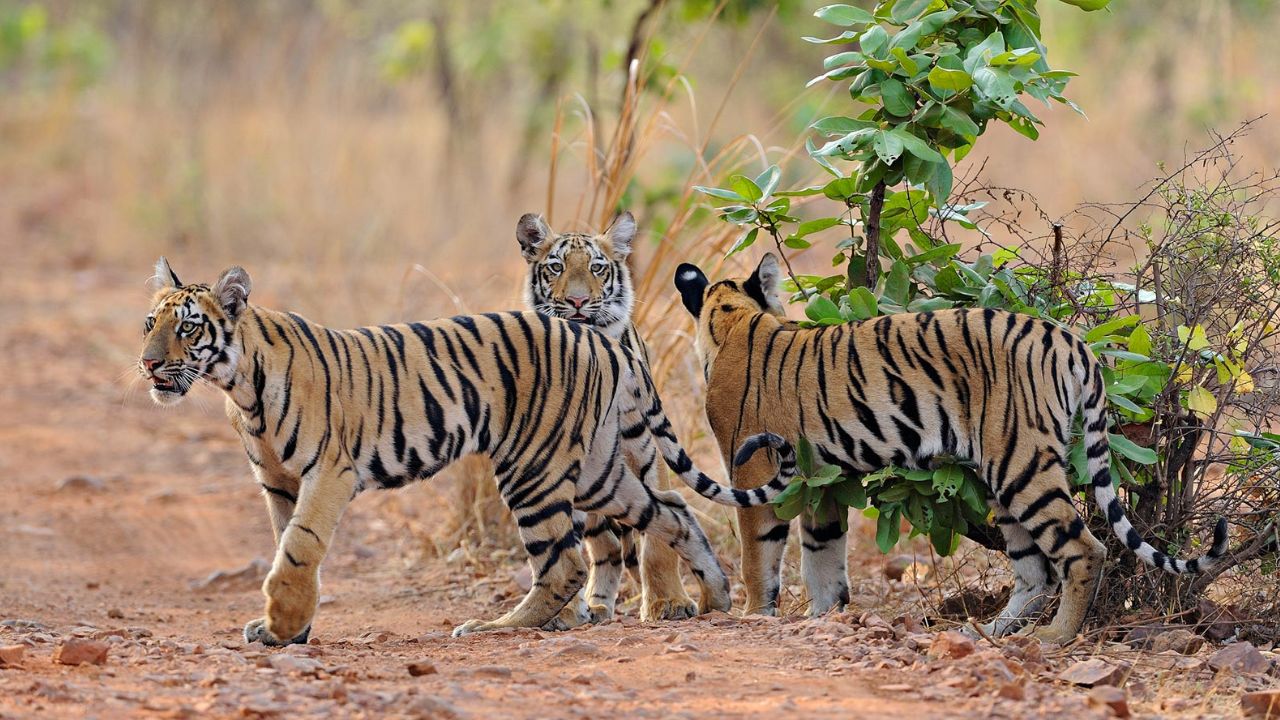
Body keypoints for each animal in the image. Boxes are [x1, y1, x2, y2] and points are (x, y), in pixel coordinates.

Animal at [137, 258, 793, 645]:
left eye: (188, 326)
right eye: (150, 323)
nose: (146, 363)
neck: (238, 387)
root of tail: (604, 341)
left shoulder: (329, 471)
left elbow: (298, 547)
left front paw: (280, 626)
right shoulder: (276, 479)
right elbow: (284, 543)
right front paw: (289, 626)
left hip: (534, 468)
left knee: (566, 561)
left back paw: (492, 627)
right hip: (599, 470)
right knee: (673, 509)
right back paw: (714, 596)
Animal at [516, 210, 698, 622]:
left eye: (597, 267)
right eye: (556, 267)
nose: (578, 300)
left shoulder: (646, 449)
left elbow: (658, 540)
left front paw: (669, 602)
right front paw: (565, 611)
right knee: (605, 546)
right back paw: (590, 606)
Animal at [674, 252, 1230, 643]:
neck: (734, 321)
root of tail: (1071, 340)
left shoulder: (753, 469)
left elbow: (758, 554)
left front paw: (756, 616)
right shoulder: (820, 482)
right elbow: (823, 554)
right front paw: (822, 615)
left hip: (1021, 462)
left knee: (1083, 549)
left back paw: (1054, 637)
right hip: (1005, 477)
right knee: (1034, 573)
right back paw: (985, 632)